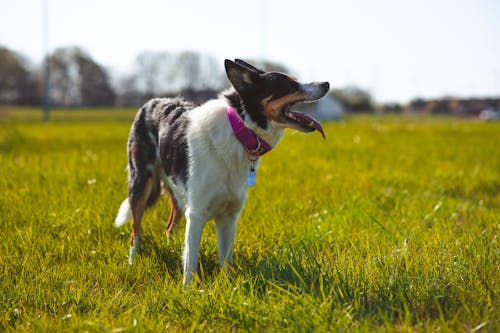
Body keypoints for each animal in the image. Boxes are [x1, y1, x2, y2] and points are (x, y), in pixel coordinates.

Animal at [115, 58, 330, 284]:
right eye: (288, 85)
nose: (326, 84)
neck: (240, 131)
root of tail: (151, 102)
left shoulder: (229, 215)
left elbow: (226, 260)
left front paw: (228, 284)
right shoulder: (197, 213)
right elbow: (190, 262)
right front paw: (188, 289)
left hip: (178, 192)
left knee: (170, 225)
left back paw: (170, 248)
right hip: (141, 183)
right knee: (135, 230)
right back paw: (133, 260)